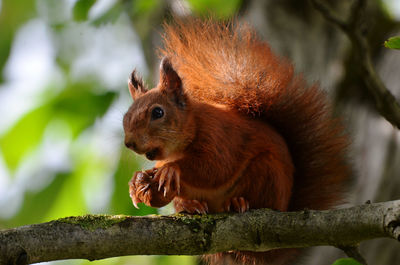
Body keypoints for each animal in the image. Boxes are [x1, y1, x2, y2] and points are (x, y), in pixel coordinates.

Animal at [122, 18, 350, 264]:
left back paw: (237, 203)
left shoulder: (220, 136)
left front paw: (172, 170)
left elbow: (214, 168)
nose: (129, 143)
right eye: (126, 115)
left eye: (158, 112)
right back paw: (191, 206)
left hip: (267, 172)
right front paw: (137, 183)